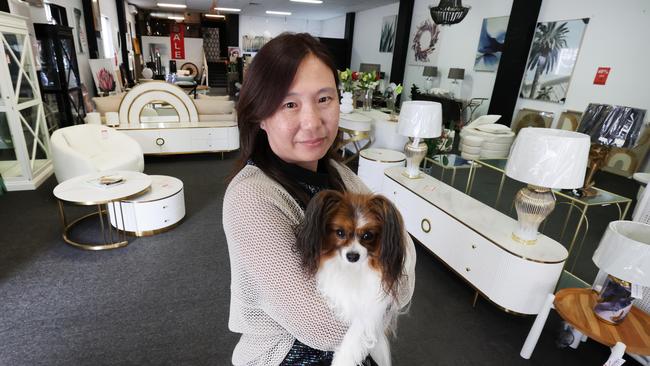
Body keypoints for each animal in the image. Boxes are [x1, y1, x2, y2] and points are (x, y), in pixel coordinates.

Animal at [294, 190, 404, 364]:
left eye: (367, 235)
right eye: (340, 232)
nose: (352, 256)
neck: (354, 269)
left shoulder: (373, 306)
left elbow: (357, 331)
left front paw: (342, 361)